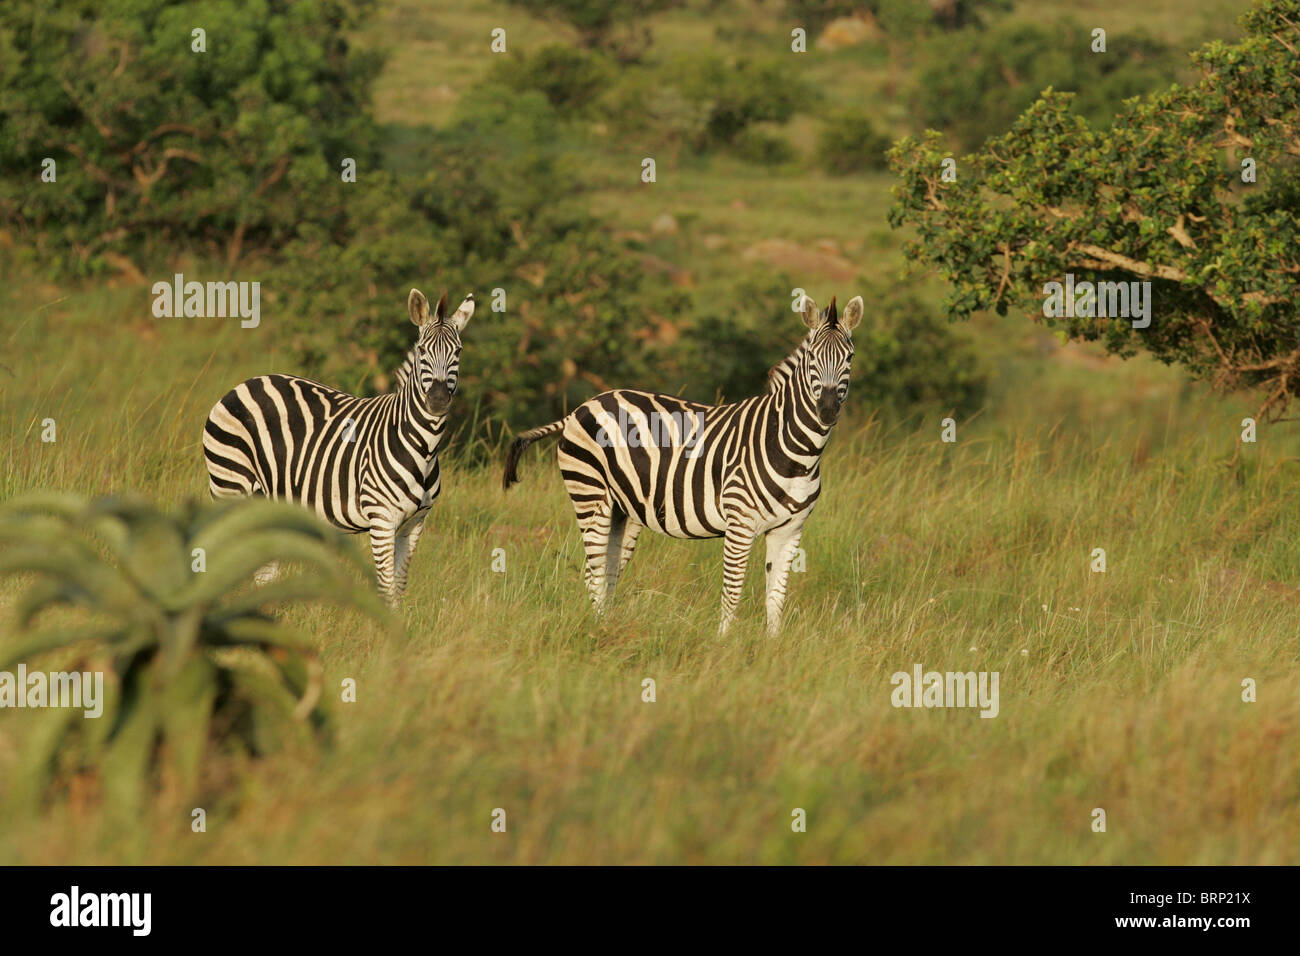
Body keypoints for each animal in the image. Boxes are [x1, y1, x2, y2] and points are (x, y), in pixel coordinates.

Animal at [200, 287, 470, 608]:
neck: (423, 446)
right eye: (421, 351)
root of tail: (242, 384)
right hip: (228, 485)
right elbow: (385, 586)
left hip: (263, 498)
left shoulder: (415, 523)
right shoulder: (381, 517)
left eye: (458, 352)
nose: (438, 401)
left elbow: (399, 586)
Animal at [501, 291, 857, 634]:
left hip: (623, 511)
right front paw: (723, 645)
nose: (827, 410)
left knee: (608, 574)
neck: (797, 453)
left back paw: (606, 627)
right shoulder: (740, 524)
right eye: (812, 358)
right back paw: (597, 630)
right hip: (590, 494)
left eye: (850, 358)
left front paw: (772, 647)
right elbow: (732, 593)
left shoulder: (790, 529)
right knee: (594, 572)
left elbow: (776, 598)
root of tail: (580, 408)